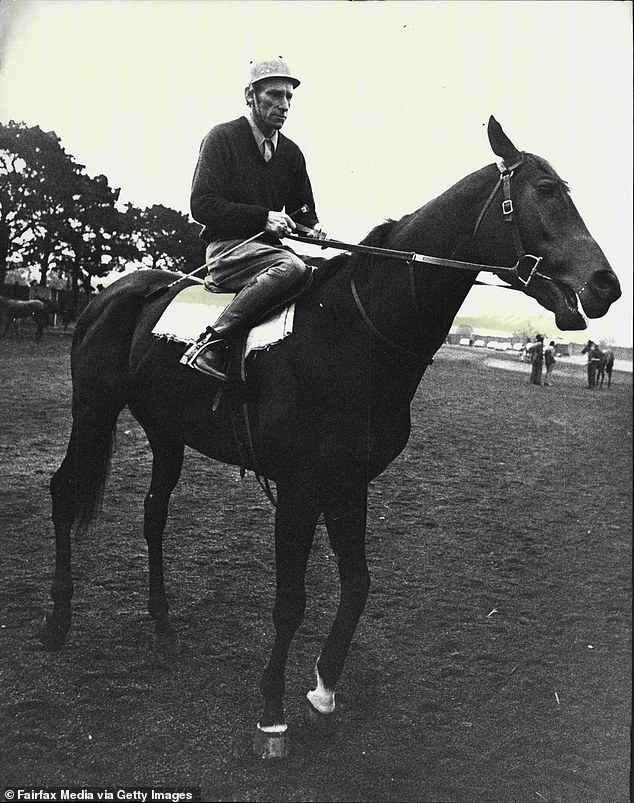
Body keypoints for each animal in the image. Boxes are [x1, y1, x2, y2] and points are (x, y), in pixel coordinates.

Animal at [38, 116, 616, 756]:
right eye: (546, 191)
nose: (606, 284)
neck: (354, 331)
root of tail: (112, 294)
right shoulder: (298, 489)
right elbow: (290, 602)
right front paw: (271, 712)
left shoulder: (348, 482)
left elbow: (358, 583)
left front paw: (323, 688)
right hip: (92, 409)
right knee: (63, 492)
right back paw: (57, 622)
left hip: (166, 432)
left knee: (154, 514)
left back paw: (162, 622)